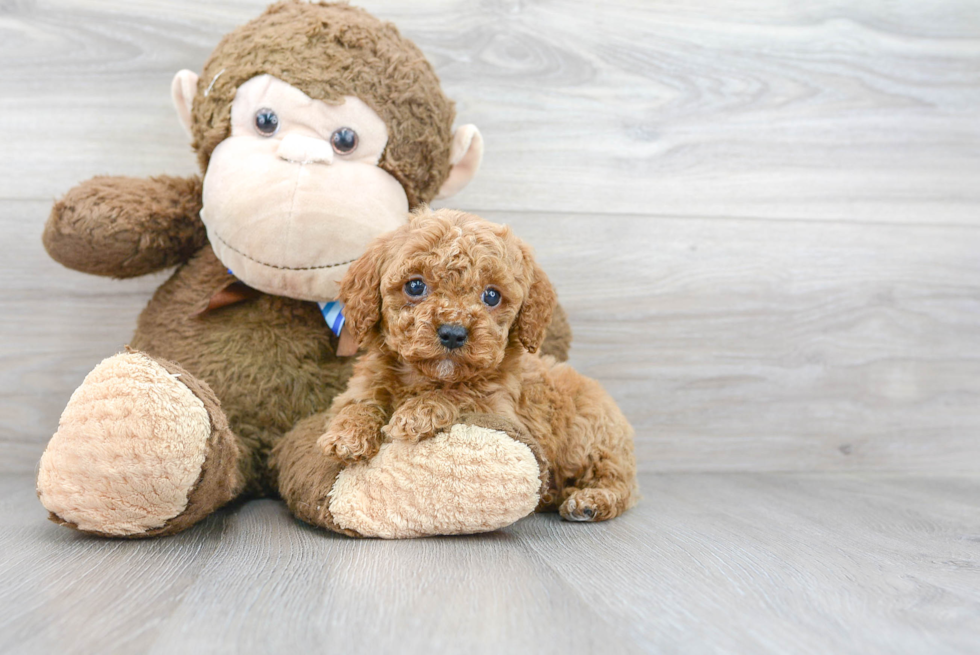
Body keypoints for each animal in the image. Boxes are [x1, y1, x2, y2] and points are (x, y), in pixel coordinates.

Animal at [318, 208, 640, 520]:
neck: (426, 378)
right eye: (415, 286)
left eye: (492, 295)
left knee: (619, 482)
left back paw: (590, 501)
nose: (453, 332)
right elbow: (360, 403)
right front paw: (347, 435)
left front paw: (419, 412)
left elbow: (462, 394)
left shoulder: (499, 409)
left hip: (592, 439)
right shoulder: (360, 387)